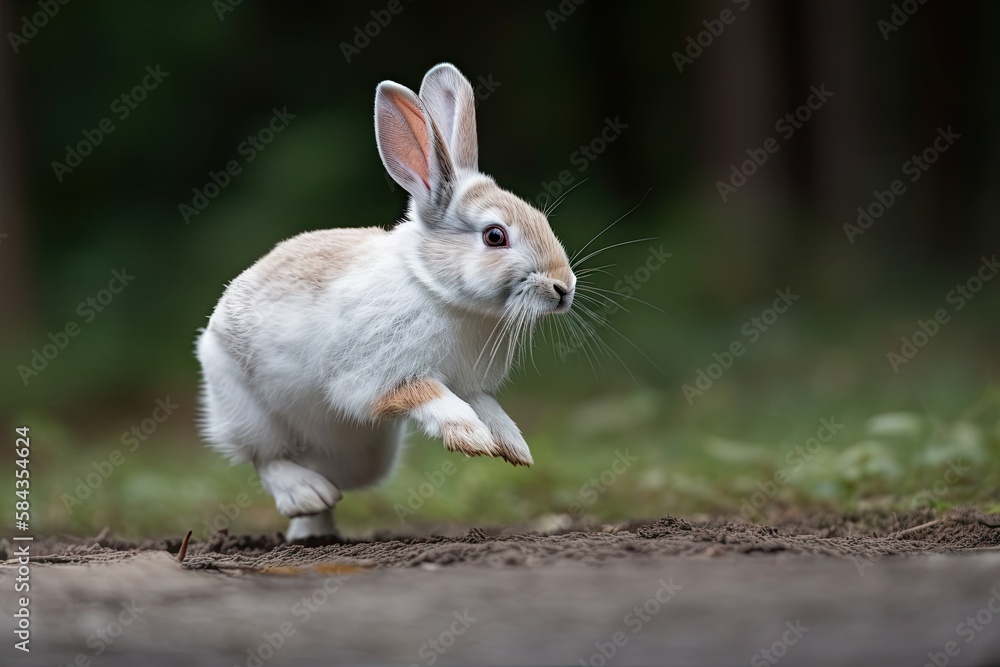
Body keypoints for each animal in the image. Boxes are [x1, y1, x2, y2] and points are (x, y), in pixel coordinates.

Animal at [196, 63, 576, 541]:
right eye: (495, 236)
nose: (564, 288)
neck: (437, 290)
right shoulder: (378, 376)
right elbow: (429, 393)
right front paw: (469, 437)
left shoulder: (472, 385)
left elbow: (490, 408)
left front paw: (513, 447)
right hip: (242, 403)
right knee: (267, 457)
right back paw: (304, 495)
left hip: (364, 455)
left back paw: (314, 530)